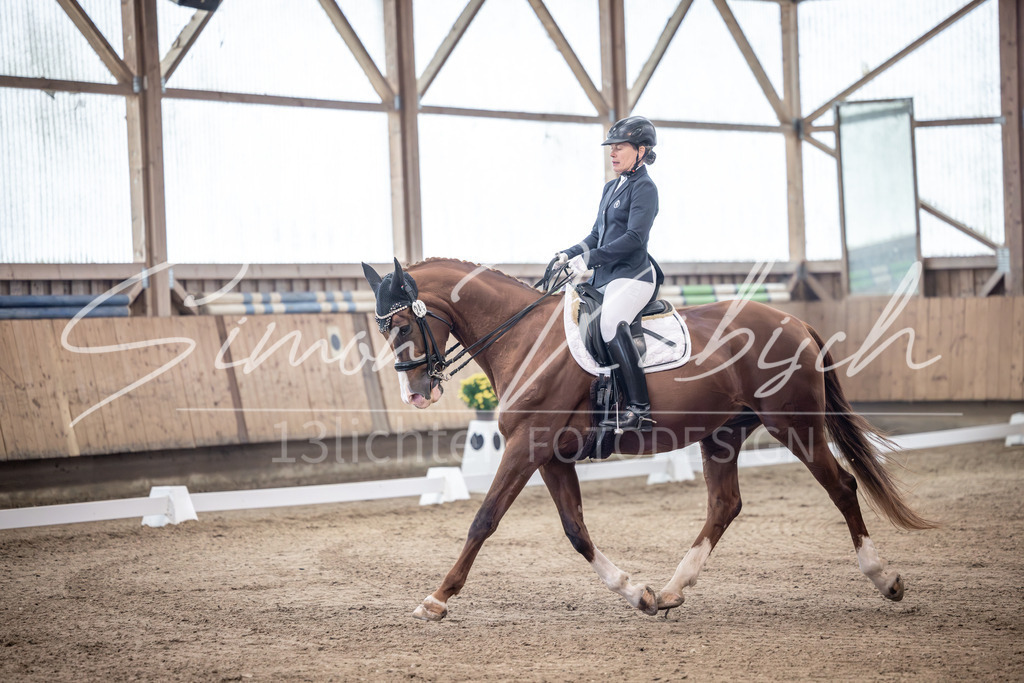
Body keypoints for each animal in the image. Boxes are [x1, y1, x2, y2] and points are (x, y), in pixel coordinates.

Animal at [361, 257, 935, 621]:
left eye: (404, 325)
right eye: (382, 327)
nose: (416, 393)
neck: (525, 339)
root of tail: (794, 320)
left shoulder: (527, 447)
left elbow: (483, 519)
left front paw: (437, 599)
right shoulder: (550, 456)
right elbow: (575, 531)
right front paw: (637, 593)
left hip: (796, 425)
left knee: (841, 487)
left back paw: (884, 578)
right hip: (723, 434)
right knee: (725, 504)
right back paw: (673, 591)